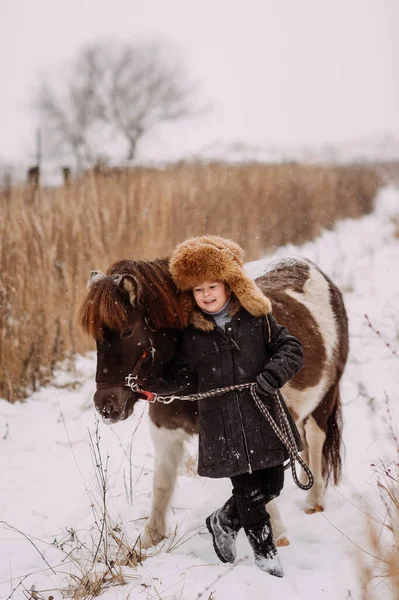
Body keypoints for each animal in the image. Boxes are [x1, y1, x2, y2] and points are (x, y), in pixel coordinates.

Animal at [79, 256, 348, 548]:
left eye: (127, 331)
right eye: (95, 337)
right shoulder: (165, 430)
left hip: (325, 397)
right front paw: (151, 537)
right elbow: (162, 481)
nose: (106, 406)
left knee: (316, 439)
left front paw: (277, 534)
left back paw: (314, 501)